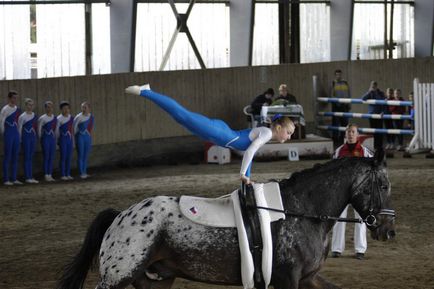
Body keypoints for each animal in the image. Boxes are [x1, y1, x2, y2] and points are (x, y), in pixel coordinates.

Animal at [58, 150, 396, 288]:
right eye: (383, 185)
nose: (388, 230)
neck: (301, 211)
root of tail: (120, 216)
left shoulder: (307, 278)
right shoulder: (287, 279)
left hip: (155, 281)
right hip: (119, 275)